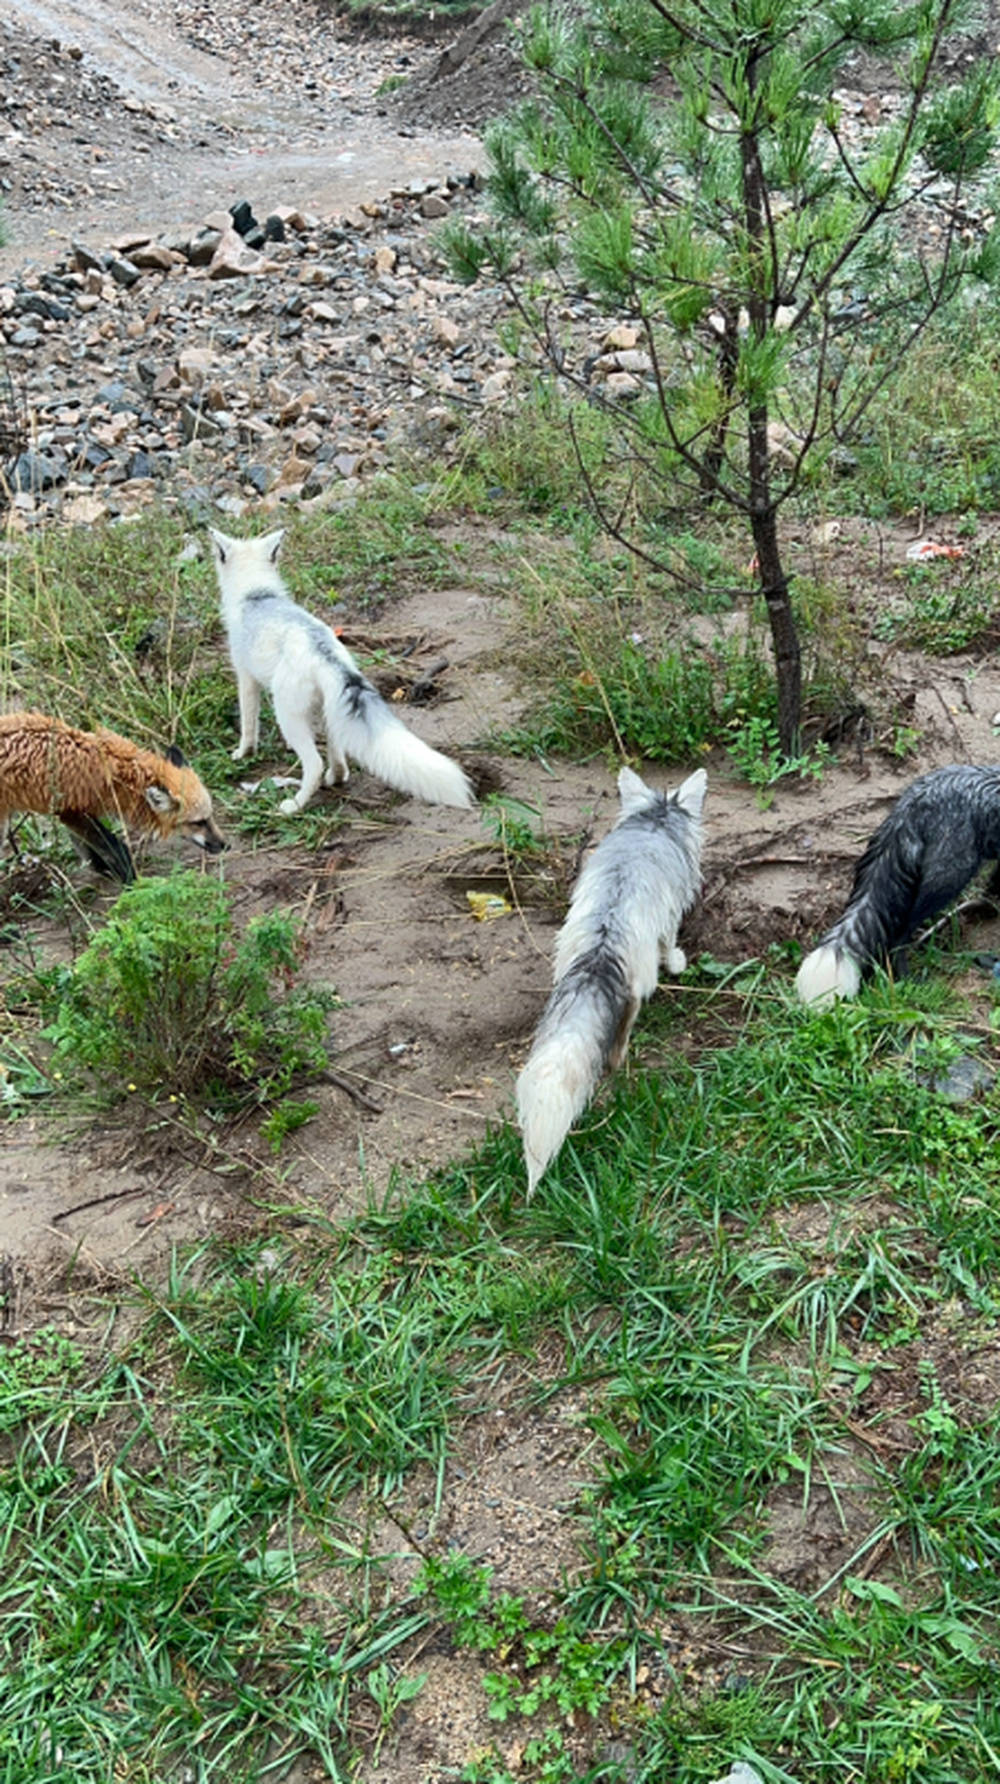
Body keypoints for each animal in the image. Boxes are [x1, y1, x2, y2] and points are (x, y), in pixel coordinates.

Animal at [0, 706, 226, 881]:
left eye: (211, 816)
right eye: (198, 822)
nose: (227, 845)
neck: (106, 768)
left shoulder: (71, 812)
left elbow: (89, 851)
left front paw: (105, 870)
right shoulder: (72, 812)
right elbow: (115, 848)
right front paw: (132, 882)